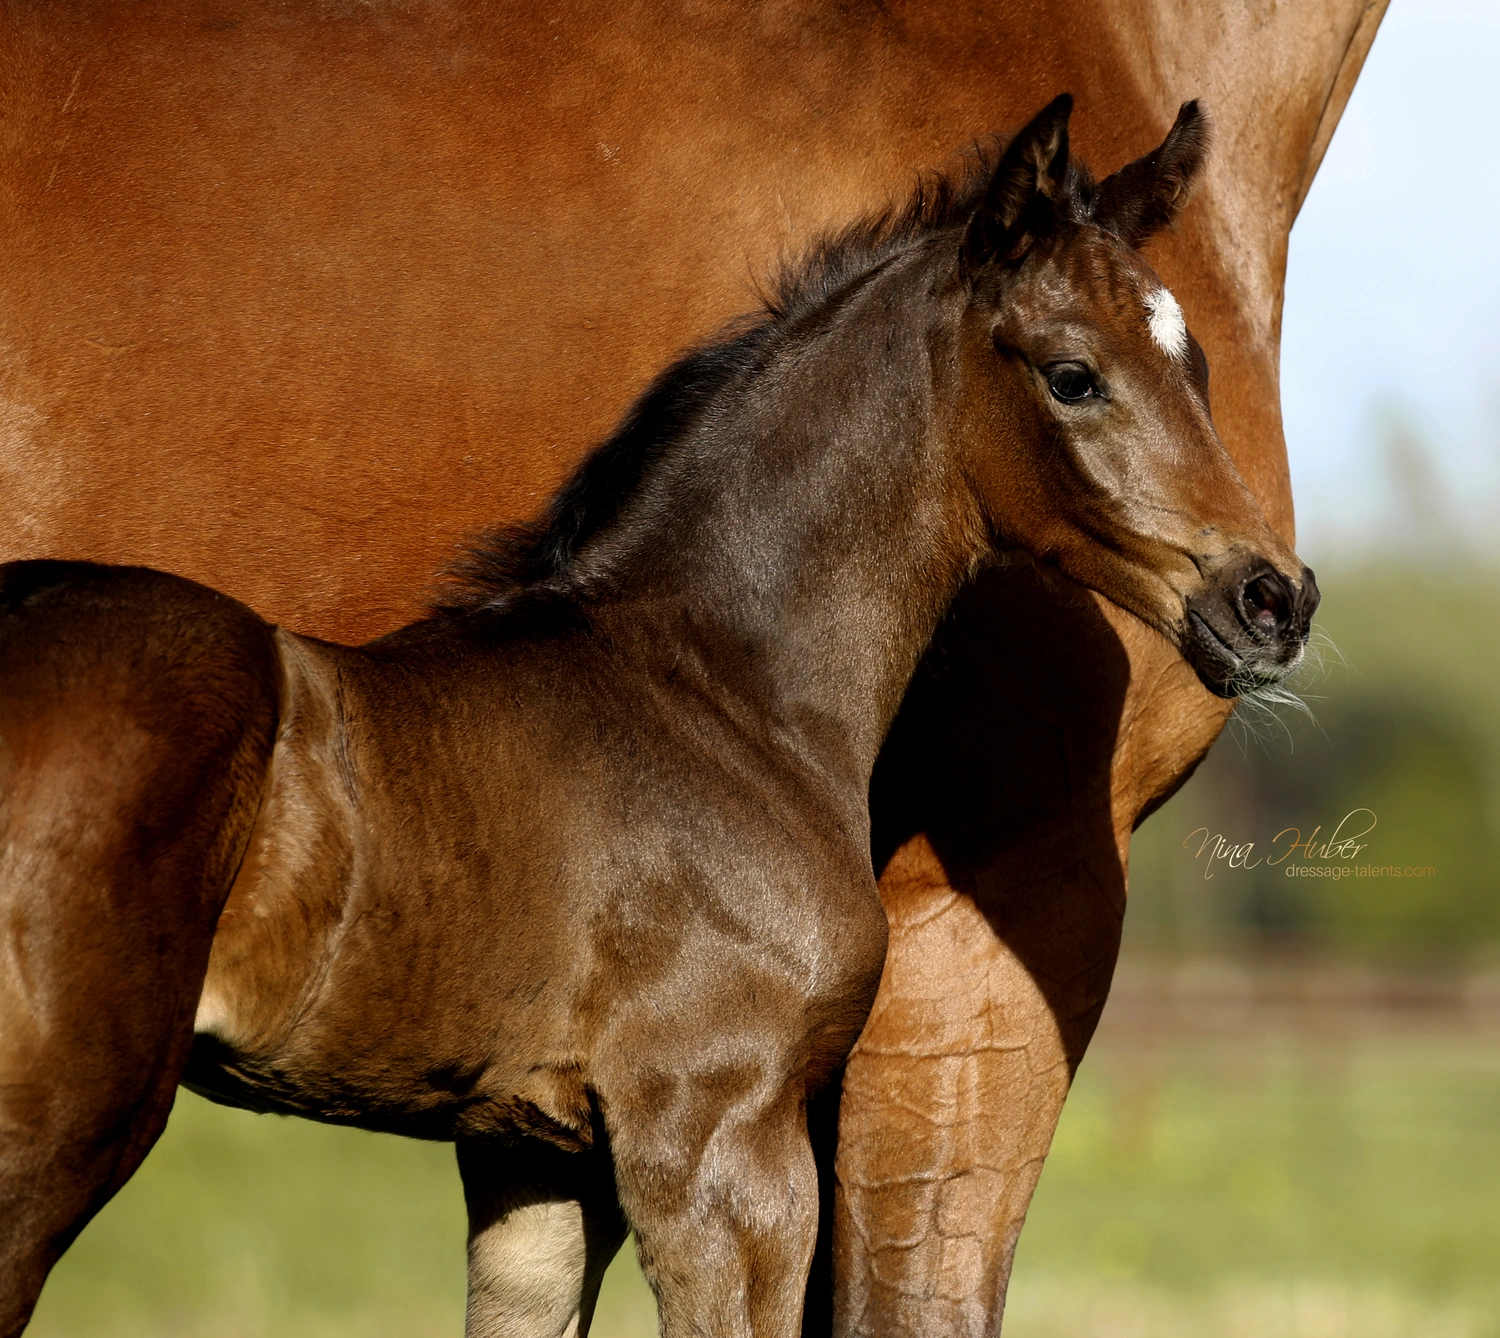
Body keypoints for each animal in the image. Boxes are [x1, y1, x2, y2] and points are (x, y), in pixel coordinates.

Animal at [0, 5, 1381, 1330]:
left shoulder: (538, 1166)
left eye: (1195, 364)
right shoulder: (724, 1144)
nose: (1271, 599)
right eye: (1073, 375)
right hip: (58, 1123)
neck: (717, 691)